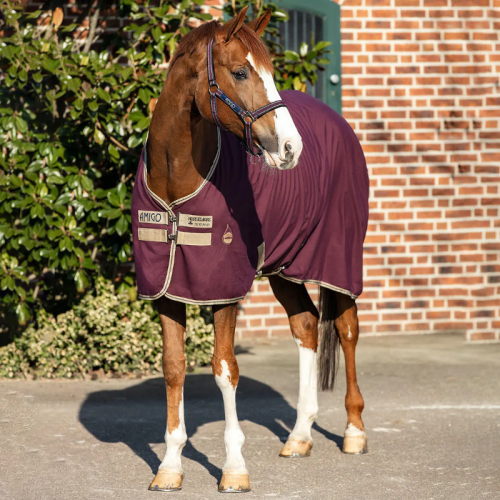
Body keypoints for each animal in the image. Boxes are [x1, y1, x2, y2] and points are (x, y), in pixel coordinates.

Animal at [131, 6, 370, 492]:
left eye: (272, 71)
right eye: (240, 71)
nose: (291, 148)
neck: (176, 182)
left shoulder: (224, 291)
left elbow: (225, 370)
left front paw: (234, 468)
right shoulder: (166, 291)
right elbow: (173, 367)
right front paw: (169, 466)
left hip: (339, 260)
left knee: (348, 329)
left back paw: (354, 432)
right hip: (285, 268)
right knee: (306, 327)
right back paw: (299, 437)